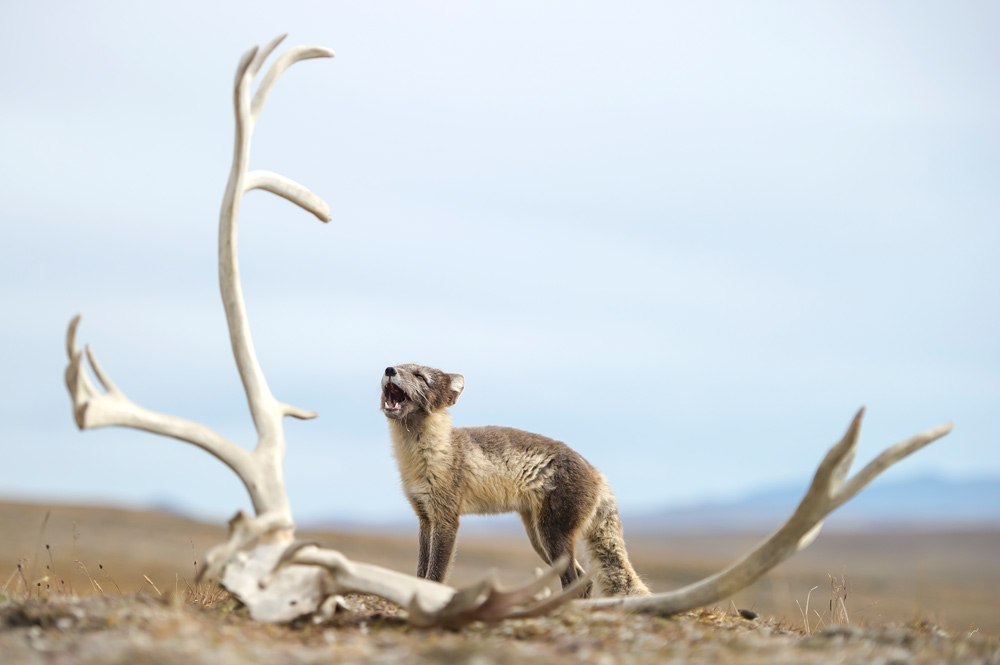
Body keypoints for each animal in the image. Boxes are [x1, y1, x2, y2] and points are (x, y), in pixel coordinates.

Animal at [380, 364, 648, 596]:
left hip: (552, 536)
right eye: (399, 365)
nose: (389, 369)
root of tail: (597, 472)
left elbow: (435, 575)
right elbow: (420, 570)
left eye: (420, 376)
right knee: (584, 580)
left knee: (574, 580)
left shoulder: (446, 519)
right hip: (539, 538)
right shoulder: (425, 517)